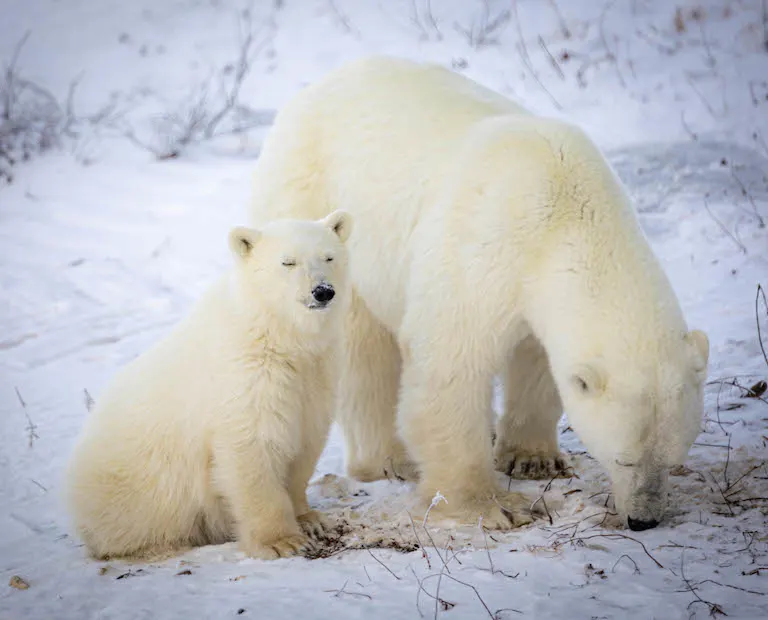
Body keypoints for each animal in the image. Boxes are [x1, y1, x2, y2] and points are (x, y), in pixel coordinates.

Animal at [65, 211, 352, 559]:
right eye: (288, 262)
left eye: (329, 257)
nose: (323, 291)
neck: (276, 333)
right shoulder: (245, 375)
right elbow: (252, 448)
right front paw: (281, 541)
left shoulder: (316, 374)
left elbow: (305, 444)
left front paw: (311, 520)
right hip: (134, 488)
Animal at [248, 56, 709, 531]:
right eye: (624, 459)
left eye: (672, 460)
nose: (643, 520)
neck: (565, 207)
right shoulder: (486, 247)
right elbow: (452, 361)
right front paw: (488, 505)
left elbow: (538, 359)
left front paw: (533, 459)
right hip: (323, 217)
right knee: (364, 351)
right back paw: (391, 459)